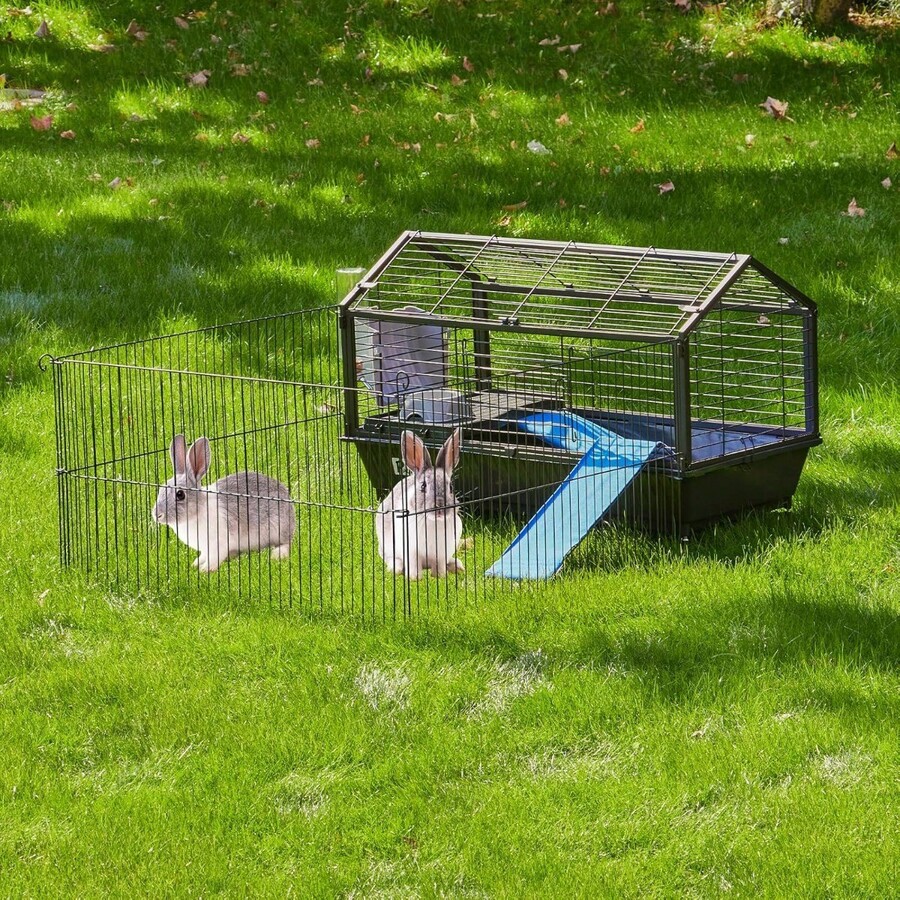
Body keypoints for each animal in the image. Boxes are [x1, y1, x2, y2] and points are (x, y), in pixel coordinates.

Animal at [152, 434, 296, 573]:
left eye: (180, 494)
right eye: (161, 489)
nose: (157, 515)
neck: (198, 511)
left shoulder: (218, 543)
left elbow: (214, 558)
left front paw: (205, 570)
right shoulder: (205, 548)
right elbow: (204, 555)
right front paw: (195, 564)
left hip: (278, 528)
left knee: (287, 543)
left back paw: (277, 554)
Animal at [375, 428, 464, 580]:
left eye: (451, 487)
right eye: (423, 486)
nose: (440, 507)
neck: (432, 522)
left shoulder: (442, 553)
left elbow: (439, 566)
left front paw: (440, 576)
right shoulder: (411, 552)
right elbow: (414, 566)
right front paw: (414, 579)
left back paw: (456, 566)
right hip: (386, 545)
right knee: (391, 558)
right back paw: (396, 569)